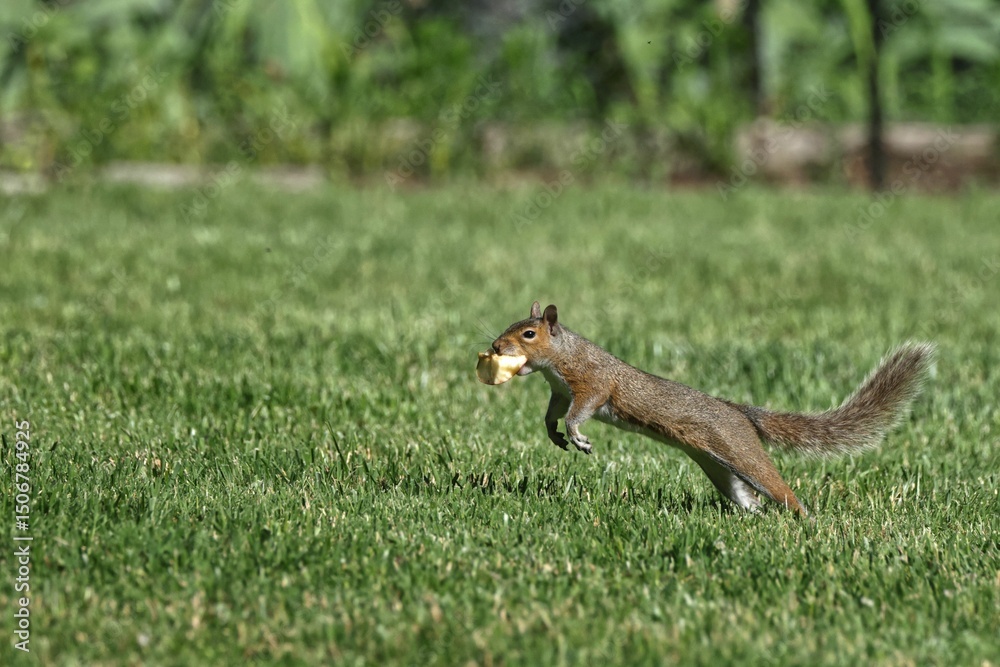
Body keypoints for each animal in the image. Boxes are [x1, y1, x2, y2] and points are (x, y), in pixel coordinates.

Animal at [489, 301, 934, 517]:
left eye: (528, 334)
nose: (495, 346)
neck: (561, 358)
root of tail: (742, 414)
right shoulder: (560, 391)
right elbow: (554, 411)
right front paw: (553, 433)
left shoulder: (594, 384)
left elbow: (582, 409)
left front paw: (578, 436)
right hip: (720, 468)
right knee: (748, 498)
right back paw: (755, 518)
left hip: (741, 453)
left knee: (780, 489)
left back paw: (806, 520)